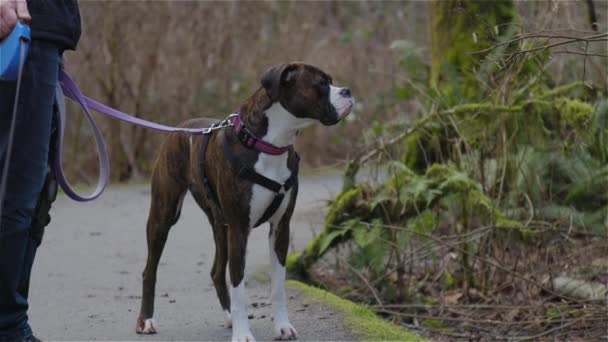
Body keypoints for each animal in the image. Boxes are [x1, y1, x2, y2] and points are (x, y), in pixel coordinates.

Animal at [135, 62, 354, 340]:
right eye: (322, 84)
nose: (348, 91)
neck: (270, 144)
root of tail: (181, 129)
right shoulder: (240, 230)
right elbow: (239, 285)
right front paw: (243, 334)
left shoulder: (280, 229)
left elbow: (278, 286)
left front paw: (282, 326)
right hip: (164, 216)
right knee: (149, 270)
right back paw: (146, 320)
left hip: (220, 225)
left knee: (217, 271)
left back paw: (228, 316)